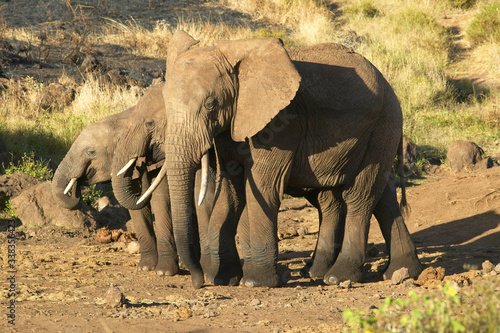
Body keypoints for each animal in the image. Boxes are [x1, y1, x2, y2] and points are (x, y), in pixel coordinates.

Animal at [141, 31, 422, 288]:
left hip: (382, 125)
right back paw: (396, 271)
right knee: (376, 195)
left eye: (211, 104)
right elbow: (230, 194)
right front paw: (221, 279)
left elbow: (263, 188)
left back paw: (338, 277)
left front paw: (255, 282)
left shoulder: (281, 123)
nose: (198, 282)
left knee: (360, 195)